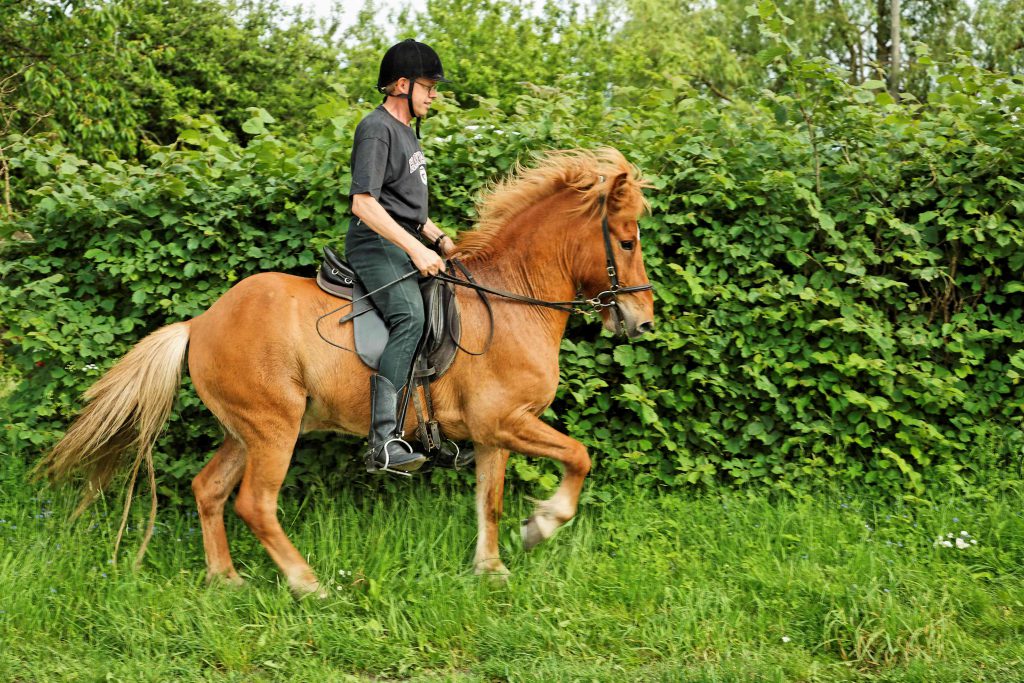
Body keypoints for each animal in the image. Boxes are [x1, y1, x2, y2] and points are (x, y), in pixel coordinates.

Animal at [36, 147, 655, 593]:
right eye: (626, 242)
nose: (641, 320)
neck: (508, 301)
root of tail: (201, 322)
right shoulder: (506, 421)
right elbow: (579, 456)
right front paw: (544, 523)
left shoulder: (493, 432)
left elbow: (491, 500)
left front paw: (492, 568)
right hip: (274, 428)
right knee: (254, 503)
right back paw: (306, 583)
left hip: (246, 430)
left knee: (208, 490)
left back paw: (226, 579)